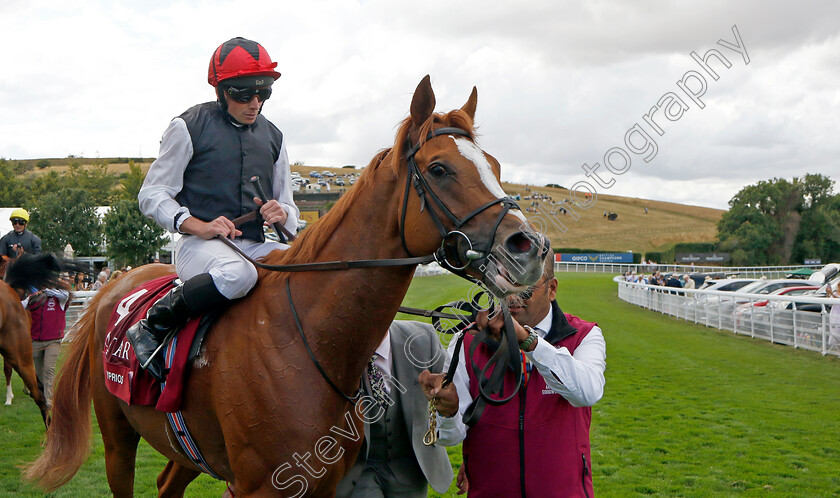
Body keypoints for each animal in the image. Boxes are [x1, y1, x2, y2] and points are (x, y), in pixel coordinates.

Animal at [26, 76, 548, 496]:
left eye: (496, 167)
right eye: (440, 169)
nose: (531, 247)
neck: (304, 339)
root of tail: (118, 284)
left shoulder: (322, 482)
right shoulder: (261, 486)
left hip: (183, 445)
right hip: (118, 438)